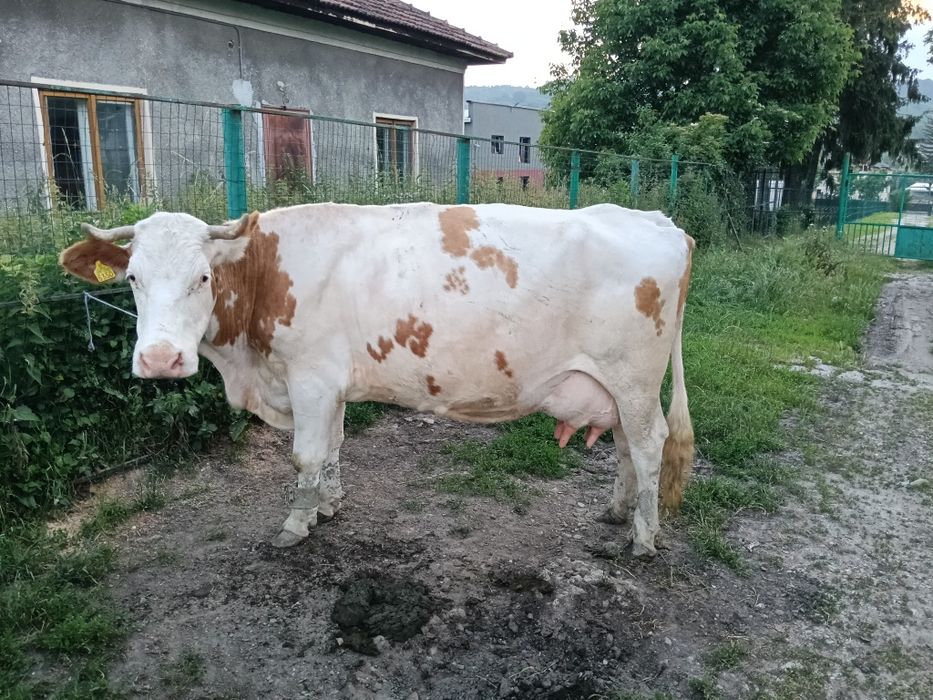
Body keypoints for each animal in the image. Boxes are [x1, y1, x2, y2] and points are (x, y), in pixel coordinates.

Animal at [59, 202, 694, 557]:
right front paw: (328, 505)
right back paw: (619, 512)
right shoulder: (330, 382)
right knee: (625, 447)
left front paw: (296, 524)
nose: (160, 359)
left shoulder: (310, 378)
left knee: (649, 447)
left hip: (634, 379)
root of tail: (658, 221)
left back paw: (642, 539)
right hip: (616, 386)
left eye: (203, 277)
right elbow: (335, 447)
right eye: (133, 277)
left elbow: (306, 455)